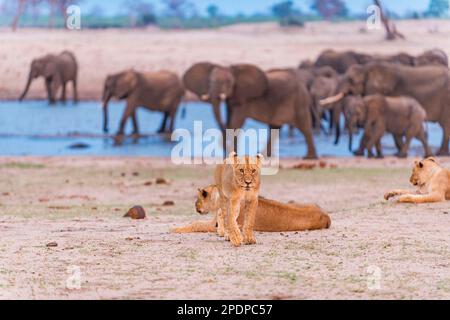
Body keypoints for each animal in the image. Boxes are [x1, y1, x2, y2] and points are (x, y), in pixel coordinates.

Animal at [171, 184, 332, 234]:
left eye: (198, 199)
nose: (195, 206)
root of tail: (327, 215)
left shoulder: (222, 225)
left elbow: (196, 224)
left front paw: (175, 229)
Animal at [320, 62, 450, 156]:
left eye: (351, 80)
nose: (334, 143)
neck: (366, 68)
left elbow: (374, 129)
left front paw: (359, 153)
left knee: (445, 127)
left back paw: (440, 153)